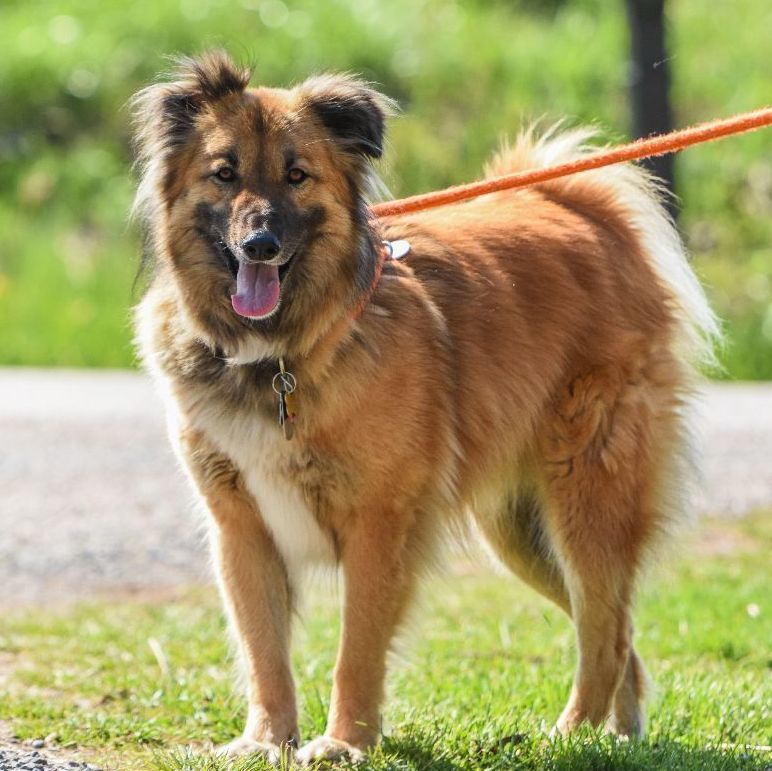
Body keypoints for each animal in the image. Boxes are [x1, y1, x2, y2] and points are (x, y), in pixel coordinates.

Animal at [131, 51, 716, 764]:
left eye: (297, 175)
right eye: (225, 173)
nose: (261, 246)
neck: (281, 356)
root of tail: (580, 207)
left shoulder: (380, 526)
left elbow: (356, 650)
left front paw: (344, 743)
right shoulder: (242, 528)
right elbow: (264, 650)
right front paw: (267, 741)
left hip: (587, 502)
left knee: (604, 633)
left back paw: (572, 735)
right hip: (520, 531)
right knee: (617, 628)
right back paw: (619, 736)